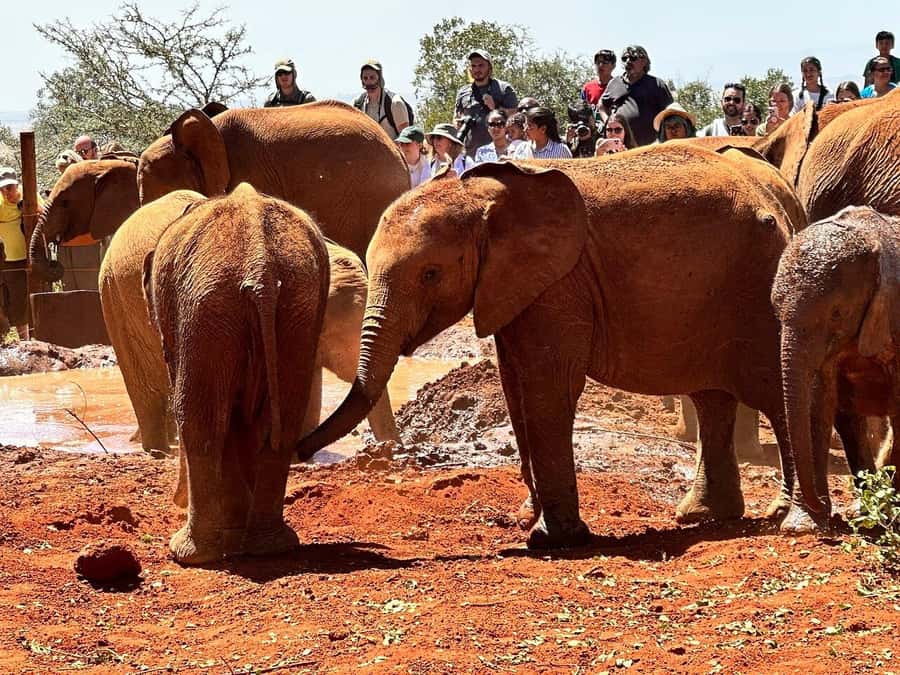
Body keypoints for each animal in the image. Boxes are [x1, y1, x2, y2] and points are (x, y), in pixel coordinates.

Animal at [143, 183, 330, 564]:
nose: (174, 500)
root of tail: (260, 267)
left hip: (207, 307)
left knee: (201, 422)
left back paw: (190, 554)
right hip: (294, 307)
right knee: (283, 419)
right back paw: (270, 546)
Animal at [295, 147, 800, 550]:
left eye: (430, 274)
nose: (299, 449)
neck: (480, 197)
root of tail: (773, 200)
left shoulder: (559, 282)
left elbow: (546, 386)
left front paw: (551, 540)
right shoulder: (513, 287)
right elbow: (514, 385)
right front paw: (526, 517)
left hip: (756, 286)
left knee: (772, 388)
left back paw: (784, 516)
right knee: (712, 397)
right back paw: (701, 515)